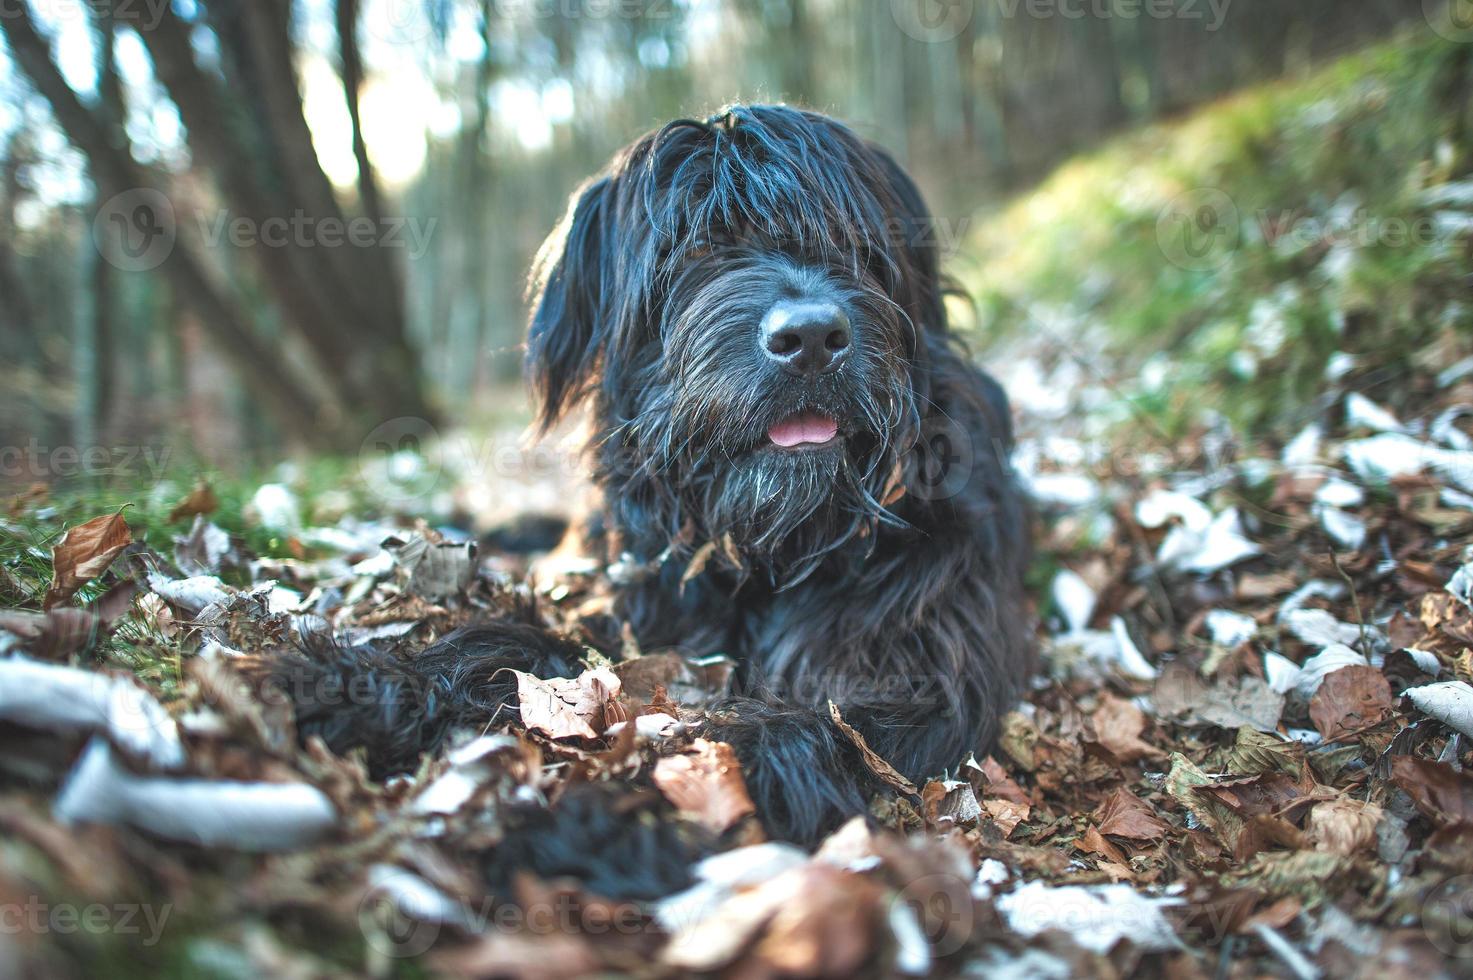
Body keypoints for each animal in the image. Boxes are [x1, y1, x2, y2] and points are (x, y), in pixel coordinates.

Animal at [276, 105, 1036, 854]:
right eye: (695, 250)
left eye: (847, 241)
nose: (811, 338)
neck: (769, 547)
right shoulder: (636, 611)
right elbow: (508, 645)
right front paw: (356, 685)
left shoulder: (919, 667)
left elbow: (790, 741)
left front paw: (604, 827)